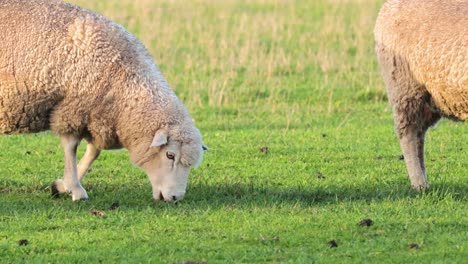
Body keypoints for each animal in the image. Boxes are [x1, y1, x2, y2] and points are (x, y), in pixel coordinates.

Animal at [0, 0, 207, 202]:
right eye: (170, 155)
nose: (175, 197)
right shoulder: (72, 109)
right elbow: (71, 147)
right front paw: (75, 189)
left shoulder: (97, 116)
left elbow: (94, 152)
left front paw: (61, 186)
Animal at [374, 0, 466, 190]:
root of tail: (387, 5)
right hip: (404, 85)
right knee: (407, 132)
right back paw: (419, 183)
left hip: (430, 97)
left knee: (419, 134)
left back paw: (424, 177)